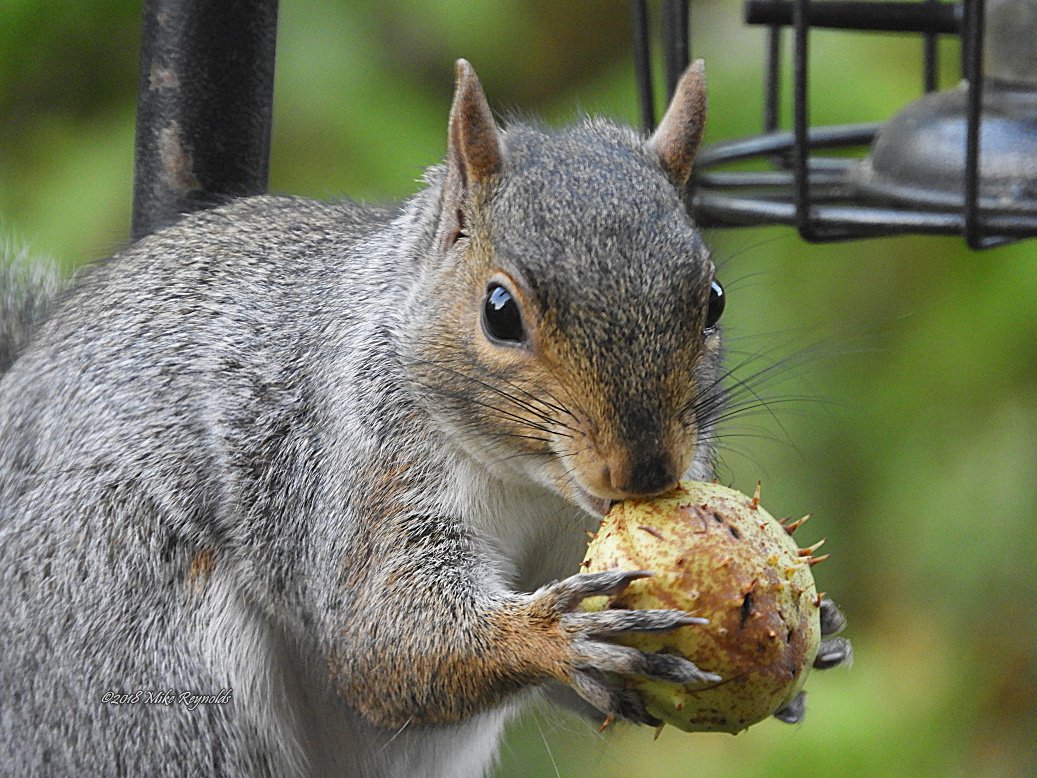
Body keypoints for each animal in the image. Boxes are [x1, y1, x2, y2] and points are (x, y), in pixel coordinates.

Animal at [0, 60, 850, 778]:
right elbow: (384, 641)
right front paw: (553, 637)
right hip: (141, 645)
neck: (528, 482)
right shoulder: (356, 473)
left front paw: (824, 629)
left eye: (713, 300)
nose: (645, 469)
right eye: (499, 312)